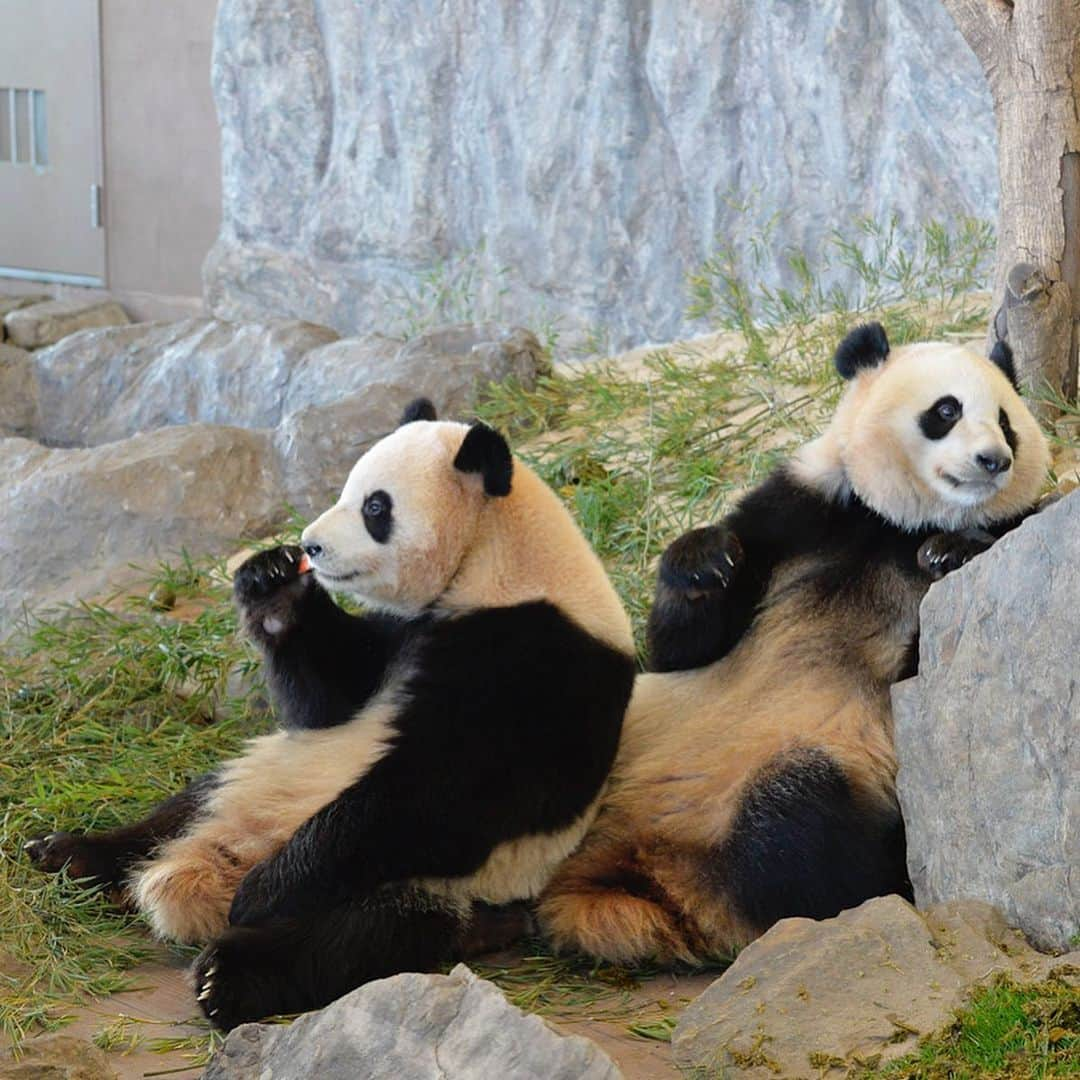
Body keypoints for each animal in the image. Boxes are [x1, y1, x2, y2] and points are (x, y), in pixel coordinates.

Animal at [25, 399, 635, 1028]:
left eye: (376, 507)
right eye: (347, 488)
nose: (311, 546)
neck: (496, 559)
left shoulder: (537, 659)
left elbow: (444, 788)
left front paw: (263, 892)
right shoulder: (396, 638)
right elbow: (328, 699)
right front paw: (272, 581)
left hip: (429, 881)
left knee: (352, 934)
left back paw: (227, 973)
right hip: (261, 776)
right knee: (181, 808)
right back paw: (73, 854)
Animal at [537, 324, 1045, 967]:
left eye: (1006, 421)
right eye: (946, 410)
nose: (995, 460)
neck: (894, 526)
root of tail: (635, 876)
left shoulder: (1005, 538)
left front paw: (951, 551)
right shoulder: (802, 509)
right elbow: (682, 648)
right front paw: (704, 561)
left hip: (815, 758)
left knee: (796, 827)